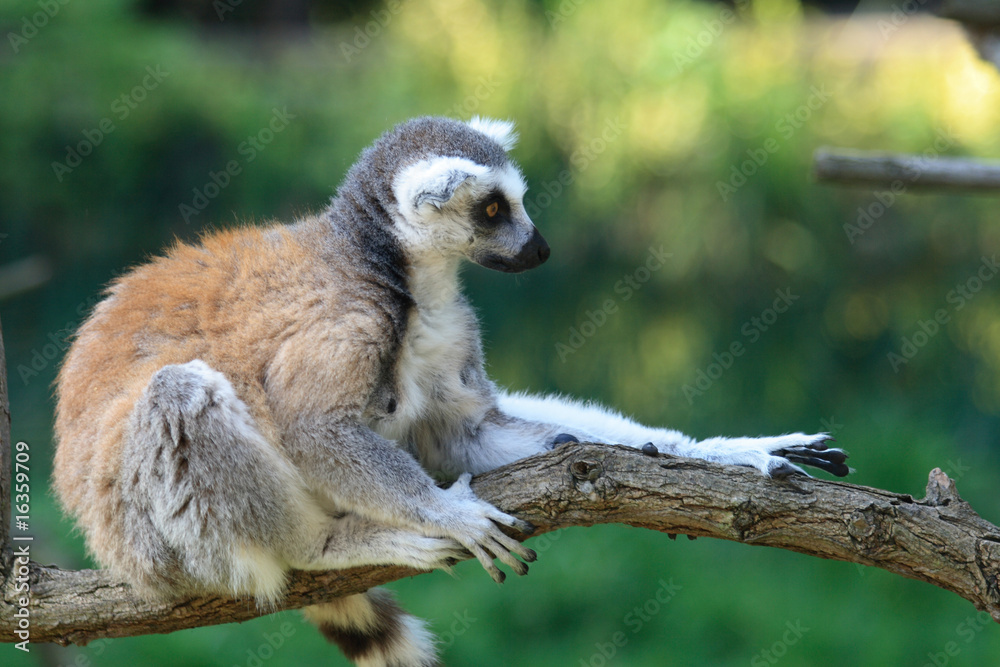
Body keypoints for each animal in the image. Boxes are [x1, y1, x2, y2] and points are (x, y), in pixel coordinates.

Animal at [53, 116, 849, 667]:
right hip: (150, 531)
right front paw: (446, 511)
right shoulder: (346, 321)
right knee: (178, 394)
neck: (403, 274)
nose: (541, 249)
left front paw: (723, 451)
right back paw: (326, 543)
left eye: (517, 202)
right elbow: (314, 427)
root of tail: (102, 535)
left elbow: (470, 430)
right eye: (493, 210)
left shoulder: (447, 349)